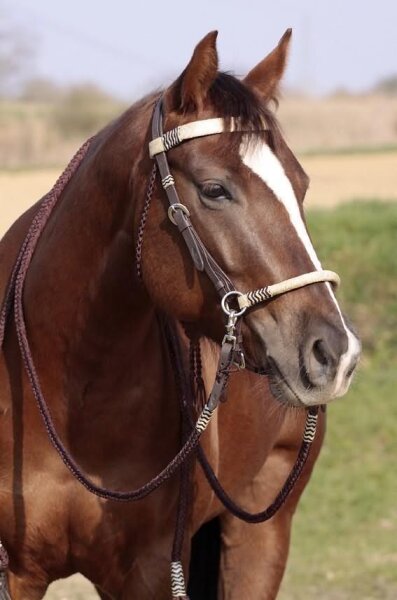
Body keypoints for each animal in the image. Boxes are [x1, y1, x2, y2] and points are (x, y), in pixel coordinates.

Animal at [0, 30, 358, 596]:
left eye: (300, 186)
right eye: (214, 189)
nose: (335, 352)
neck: (71, 389)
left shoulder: (150, 570)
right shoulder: (16, 572)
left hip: (262, 532)